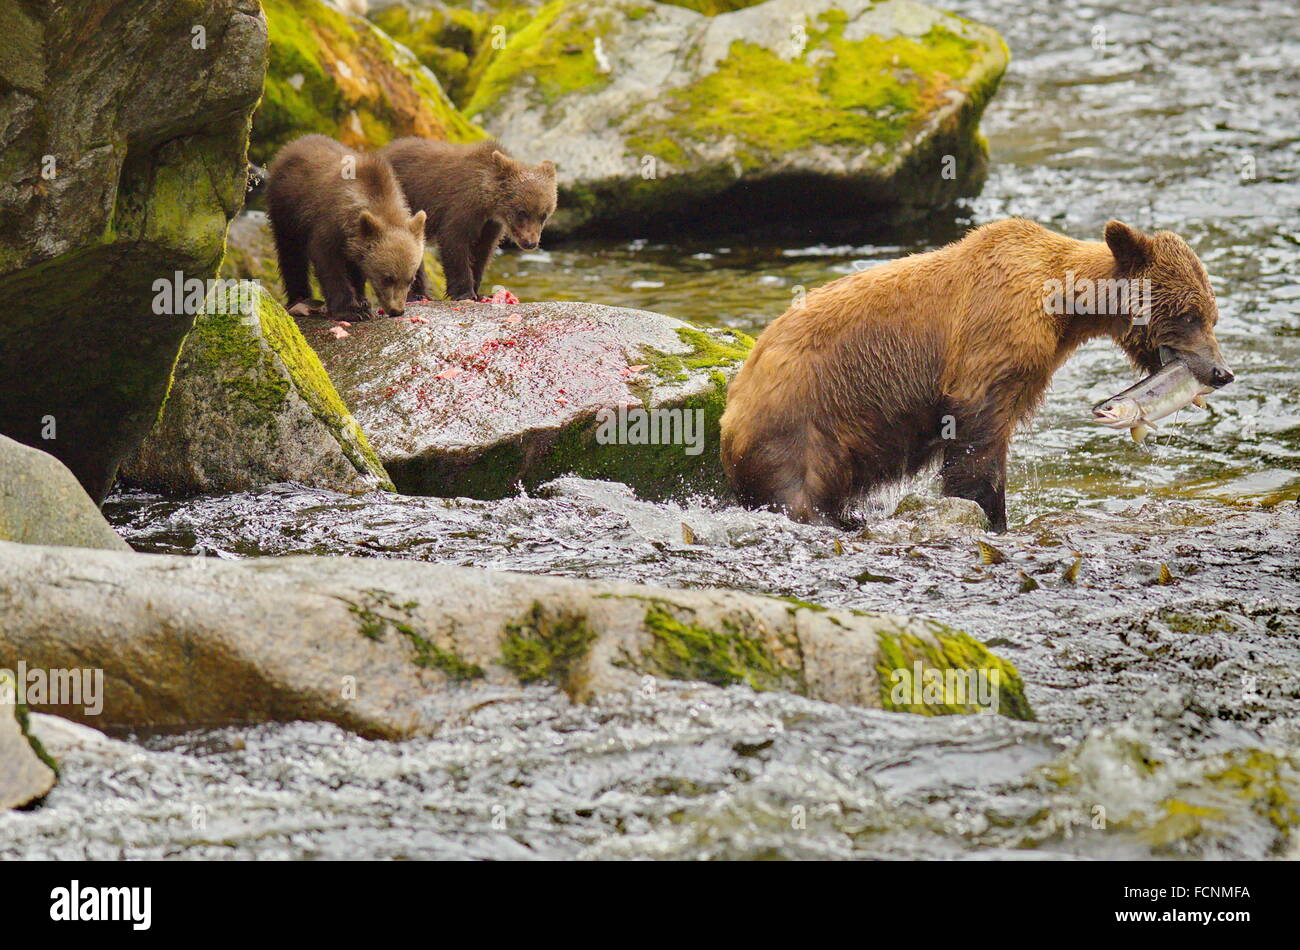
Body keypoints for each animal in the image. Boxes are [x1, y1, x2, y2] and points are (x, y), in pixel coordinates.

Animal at [266, 134, 426, 320]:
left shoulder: (356, 241)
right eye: (387, 278)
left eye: (410, 279)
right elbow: (329, 265)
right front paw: (351, 310)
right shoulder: (328, 227)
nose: (397, 310)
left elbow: (356, 267)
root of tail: (292, 144)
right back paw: (299, 297)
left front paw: (362, 302)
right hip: (287, 209)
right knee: (290, 252)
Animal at [379, 137, 557, 301]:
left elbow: (483, 251)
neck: (487, 203)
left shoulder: (490, 224)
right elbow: (455, 242)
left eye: (544, 215)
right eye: (521, 212)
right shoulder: (462, 206)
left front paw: (478, 292)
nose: (530, 243)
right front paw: (465, 293)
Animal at [720, 218, 1234, 532]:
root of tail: (734, 396)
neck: (1062, 308)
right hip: (803, 422)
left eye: (1212, 315)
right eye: (1188, 315)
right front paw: (990, 515)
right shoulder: (991, 343)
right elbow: (978, 442)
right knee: (796, 490)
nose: (1221, 372)